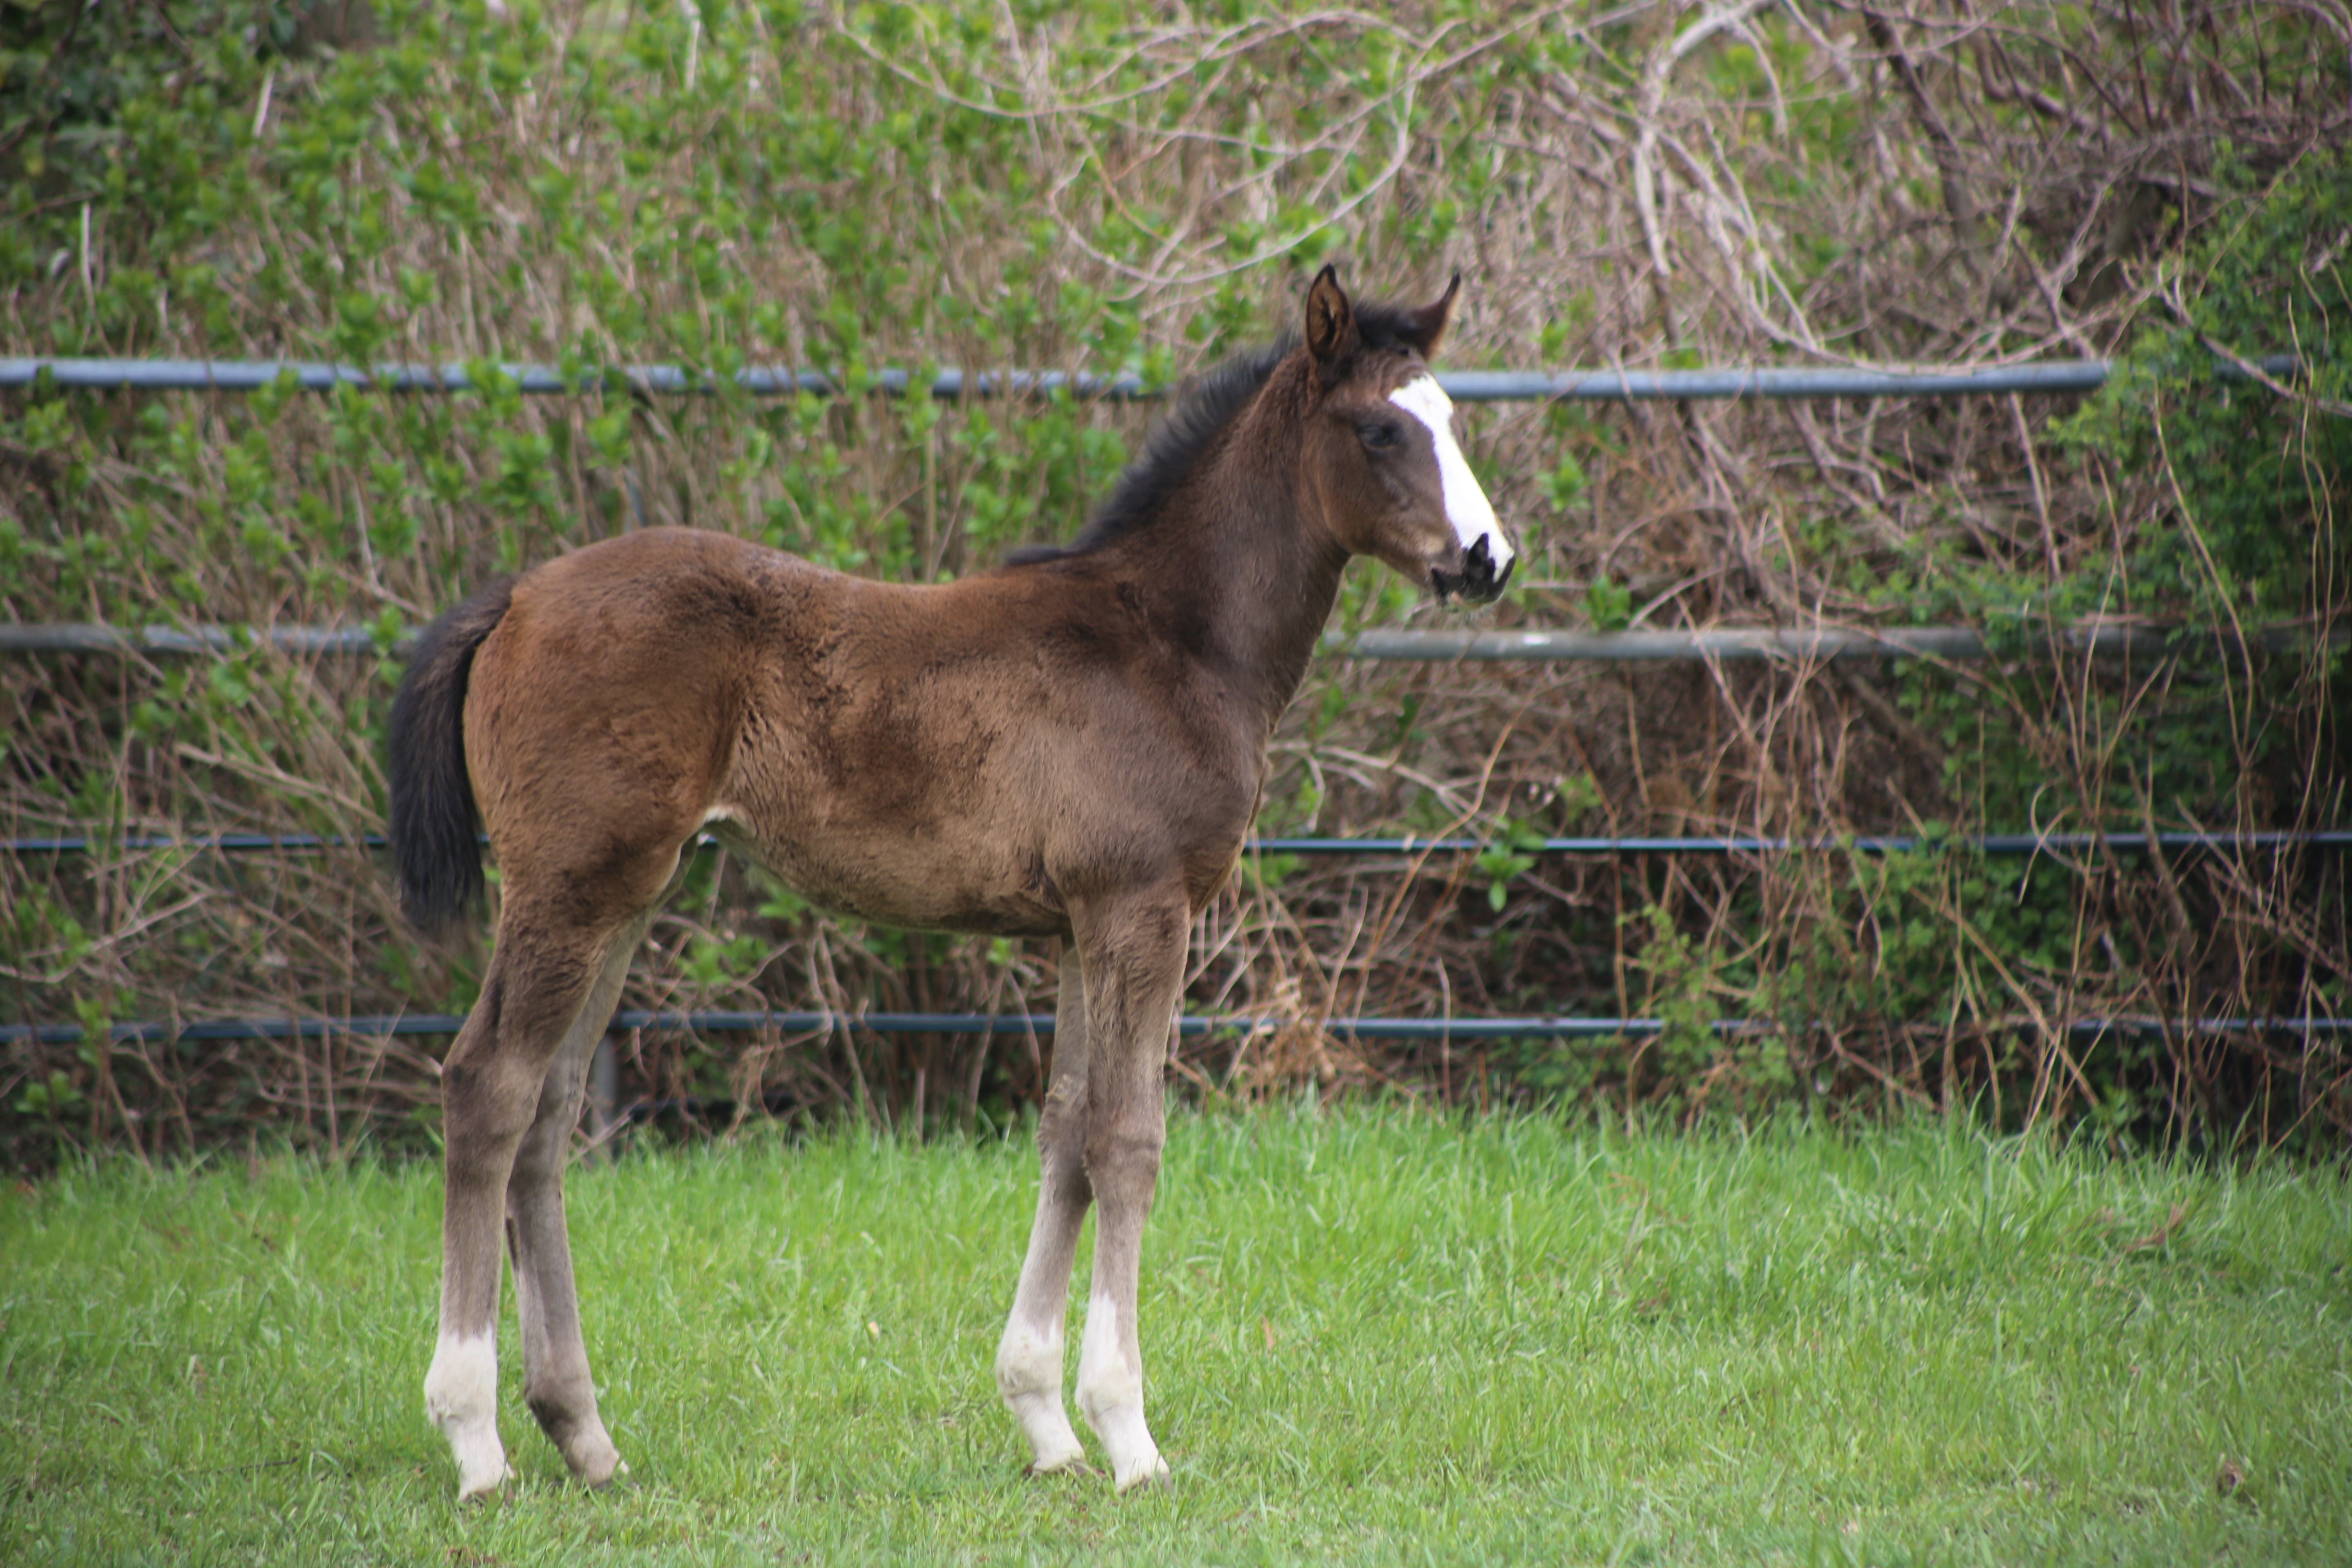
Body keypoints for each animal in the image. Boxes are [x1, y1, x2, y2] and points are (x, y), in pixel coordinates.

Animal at [388, 267, 1515, 1495]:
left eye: (1450, 417)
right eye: (1379, 430)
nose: (1488, 559)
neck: (1171, 641)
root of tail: (518, 597)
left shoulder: (1078, 925)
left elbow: (1067, 1135)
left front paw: (1046, 1424)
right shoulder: (1141, 907)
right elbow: (1128, 1140)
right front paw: (1129, 1435)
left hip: (625, 897)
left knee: (547, 1113)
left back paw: (584, 1435)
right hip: (569, 887)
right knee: (488, 1086)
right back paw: (475, 1440)